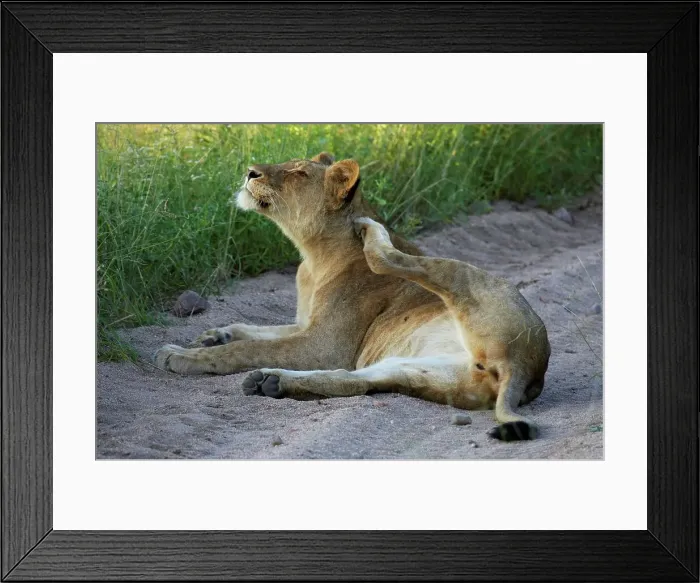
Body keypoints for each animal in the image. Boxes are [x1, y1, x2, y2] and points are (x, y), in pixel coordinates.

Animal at [154, 152, 551, 441]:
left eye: (298, 173)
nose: (250, 172)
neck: (313, 257)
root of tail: (525, 367)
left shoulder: (324, 344)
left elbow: (245, 349)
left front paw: (182, 356)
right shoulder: (305, 325)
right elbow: (251, 330)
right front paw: (209, 336)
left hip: (468, 278)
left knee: (392, 259)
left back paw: (371, 231)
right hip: (416, 370)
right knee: (353, 380)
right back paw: (269, 382)